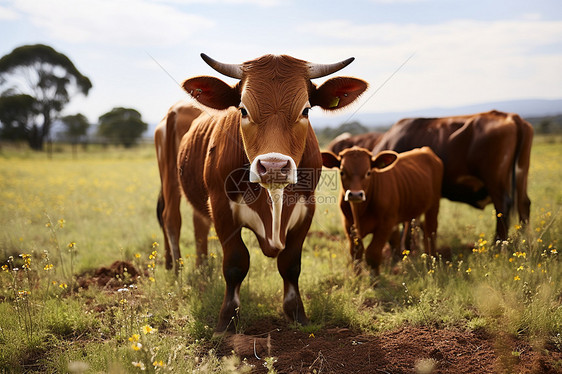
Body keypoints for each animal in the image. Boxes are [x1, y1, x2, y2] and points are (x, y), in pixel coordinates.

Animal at [176, 53, 368, 334]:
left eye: (305, 110)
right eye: (243, 110)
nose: (274, 167)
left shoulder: (307, 207)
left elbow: (290, 263)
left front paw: (296, 313)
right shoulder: (221, 206)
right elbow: (235, 263)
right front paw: (227, 320)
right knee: (171, 222)